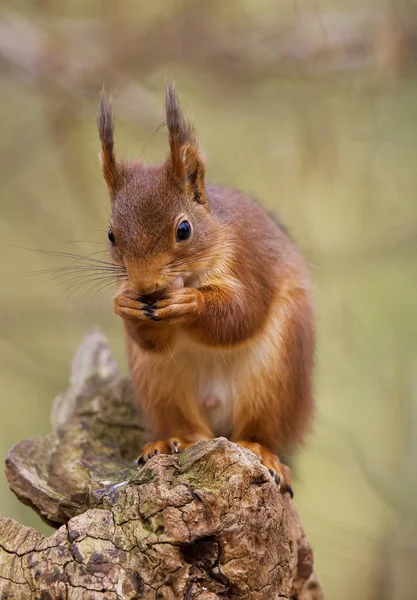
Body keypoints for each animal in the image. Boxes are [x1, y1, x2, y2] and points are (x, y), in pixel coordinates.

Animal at [96, 84, 312, 496]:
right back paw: (172, 440)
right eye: (111, 235)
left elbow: (242, 314)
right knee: (184, 425)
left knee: (260, 428)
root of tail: (217, 427)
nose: (145, 287)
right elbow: (150, 339)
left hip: (276, 378)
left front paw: (190, 302)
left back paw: (260, 449)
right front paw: (125, 304)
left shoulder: (248, 261)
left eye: (184, 230)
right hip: (159, 385)